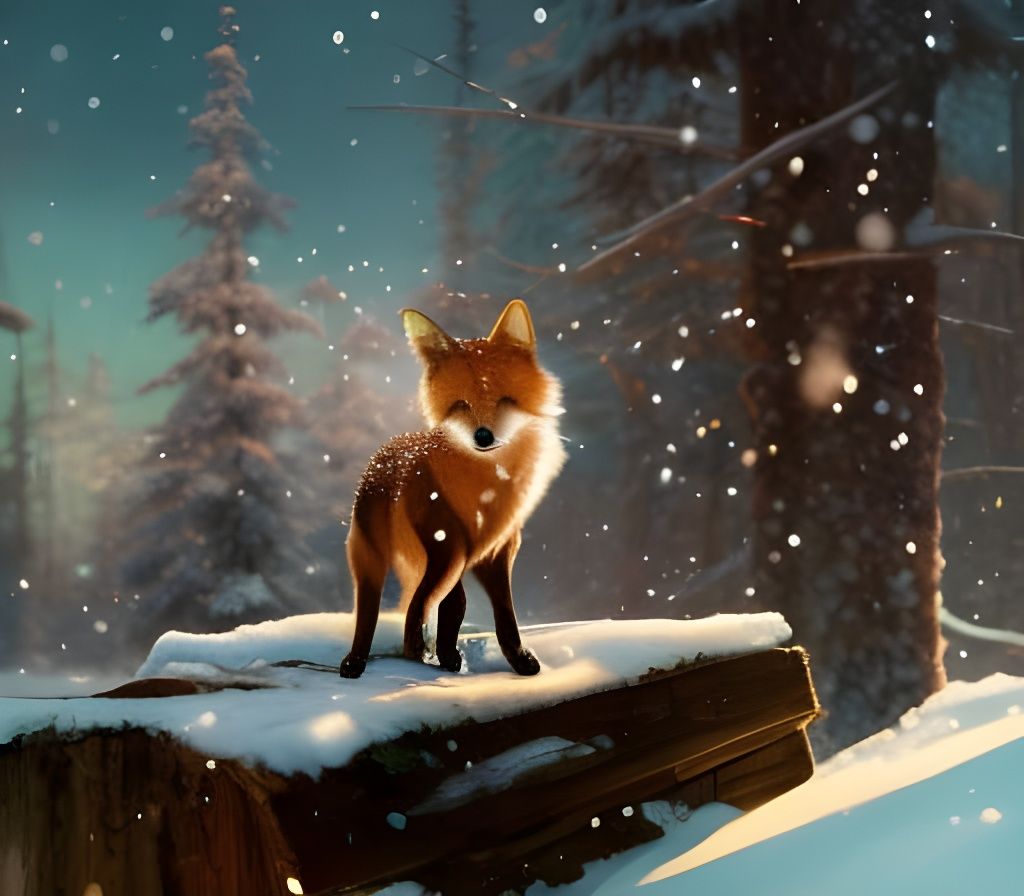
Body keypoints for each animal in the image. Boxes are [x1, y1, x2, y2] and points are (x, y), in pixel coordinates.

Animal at [339, 299, 567, 679]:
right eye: (461, 404)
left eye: (505, 400)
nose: (483, 436)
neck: (484, 490)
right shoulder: (446, 545)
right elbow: (429, 606)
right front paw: (421, 654)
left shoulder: (497, 552)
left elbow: (502, 614)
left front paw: (518, 660)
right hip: (378, 558)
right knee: (375, 612)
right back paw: (358, 661)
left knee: (439, 601)